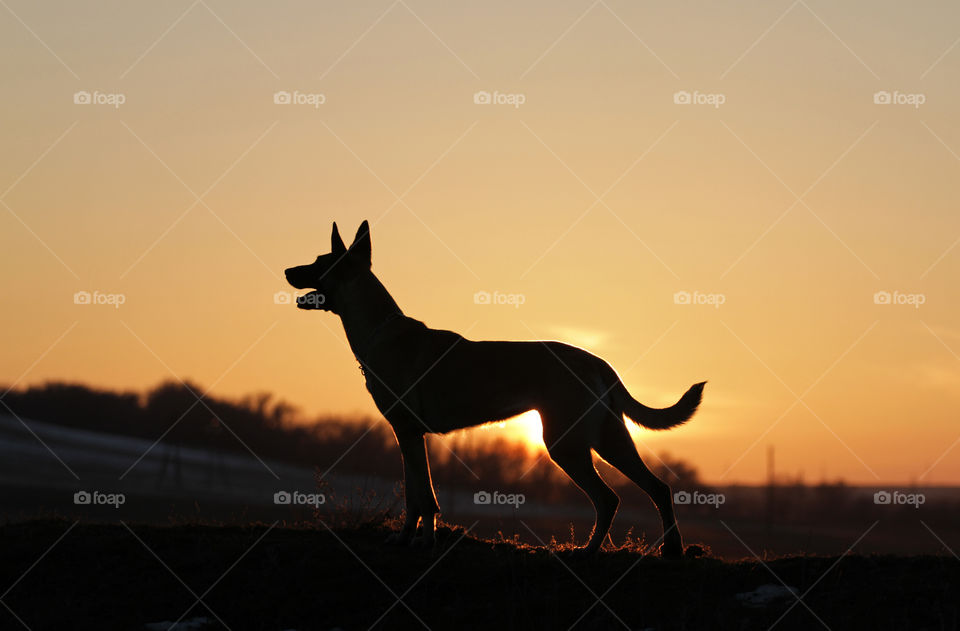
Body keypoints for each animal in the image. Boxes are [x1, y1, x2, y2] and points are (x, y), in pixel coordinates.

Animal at [284, 221, 704, 556]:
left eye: (318, 262)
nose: (287, 269)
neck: (379, 330)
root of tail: (597, 361)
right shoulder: (409, 435)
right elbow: (418, 494)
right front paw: (416, 539)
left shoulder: (407, 432)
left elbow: (419, 496)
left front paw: (415, 542)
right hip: (606, 439)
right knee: (653, 489)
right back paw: (661, 549)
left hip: (566, 444)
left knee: (612, 497)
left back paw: (594, 552)